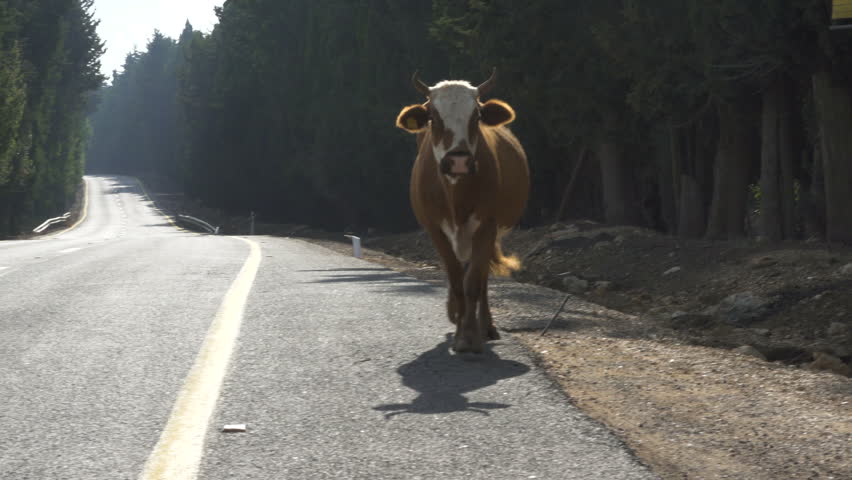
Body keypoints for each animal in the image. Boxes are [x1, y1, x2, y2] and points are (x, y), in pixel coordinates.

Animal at [395, 69, 530, 354]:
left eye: (476, 116)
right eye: (433, 117)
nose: (458, 161)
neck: (456, 198)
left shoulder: (487, 225)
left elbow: (473, 283)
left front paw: (469, 335)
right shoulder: (435, 228)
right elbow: (457, 280)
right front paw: (459, 324)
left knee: (482, 278)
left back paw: (485, 325)